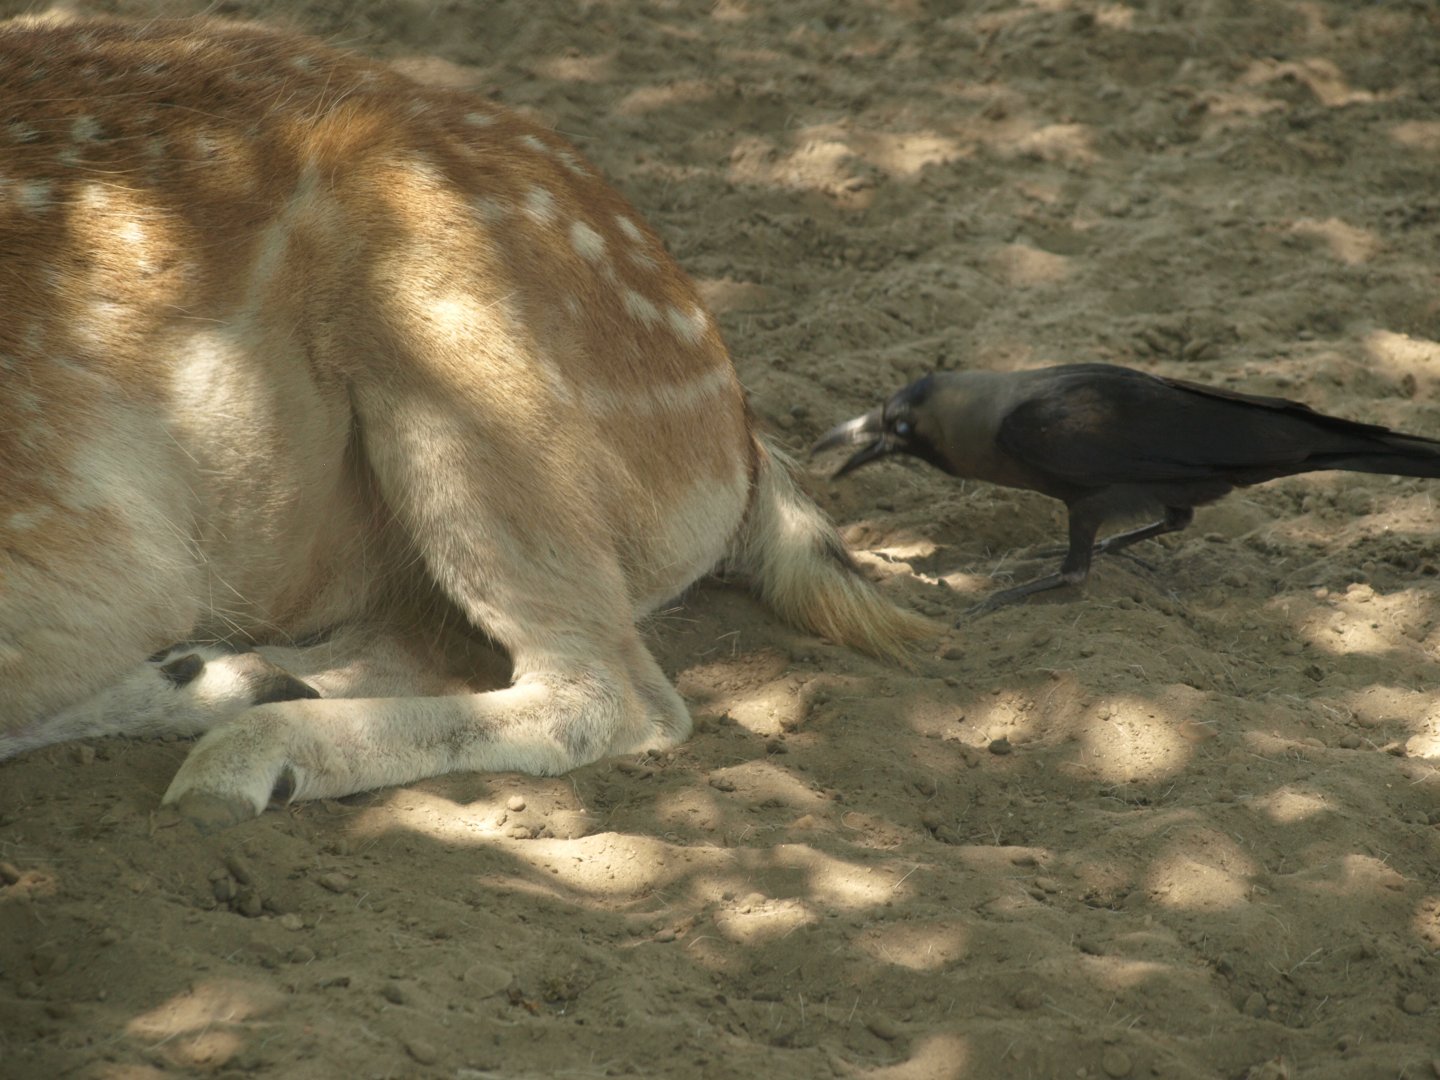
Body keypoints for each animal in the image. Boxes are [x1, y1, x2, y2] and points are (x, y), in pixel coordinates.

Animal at [0, 16, 932, 828]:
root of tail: (741, 439)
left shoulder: (102, 538)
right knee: (425, 644)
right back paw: (247, 686)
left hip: (458, 357)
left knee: (614, 693)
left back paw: (246, 756)